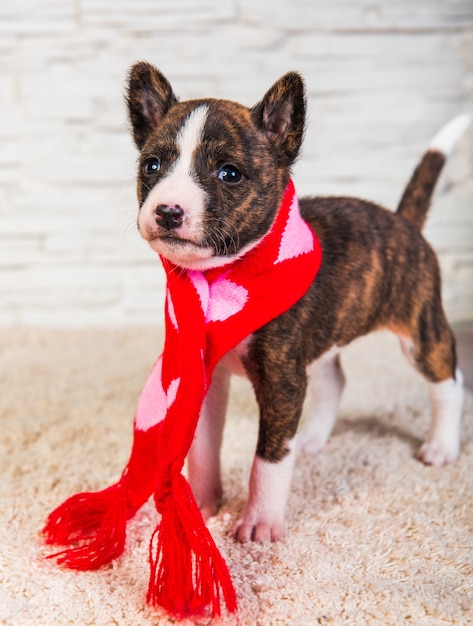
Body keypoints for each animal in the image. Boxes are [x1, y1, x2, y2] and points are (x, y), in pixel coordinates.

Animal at [126, 62, 468, 540]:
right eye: (152, 165)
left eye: (229, 173)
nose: (168, 211)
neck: (223, 277)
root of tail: (403, 221)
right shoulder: (208, 374)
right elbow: (204, 447)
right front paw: (205, 506)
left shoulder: (282, 381)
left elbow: (268, 457)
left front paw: (258, 522)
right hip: (325, 337)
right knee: (334, 380)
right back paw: (313, 438)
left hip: (420, 328)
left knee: (448, 381)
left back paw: (441, 445)